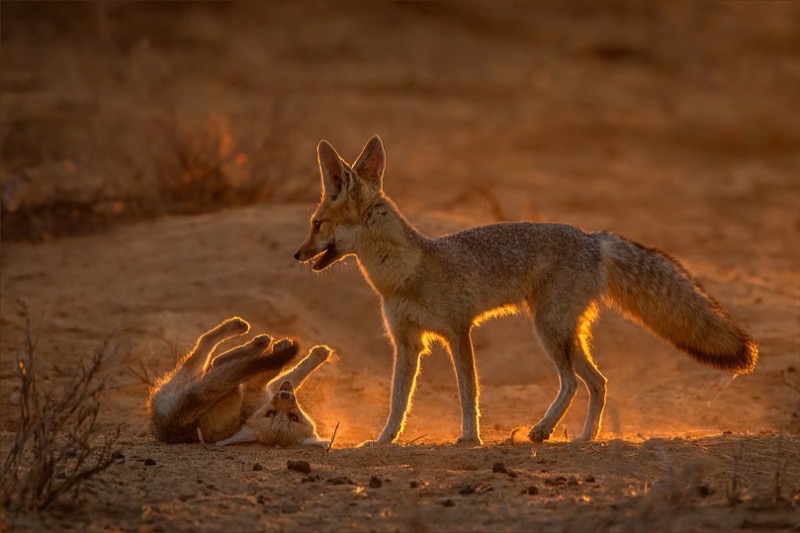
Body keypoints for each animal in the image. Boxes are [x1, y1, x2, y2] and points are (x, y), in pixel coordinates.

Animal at [149, 317, 332, 448]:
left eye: (293, 417)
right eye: (270, 413)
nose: (285, 396)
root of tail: (167, 427)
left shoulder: (257, 386)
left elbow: (284, 371)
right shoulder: (265, 388)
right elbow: (294, 374)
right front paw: (317, 354)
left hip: (198, 375)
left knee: (207, 347)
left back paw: (249, 337)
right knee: (212, 352)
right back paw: (250, 335)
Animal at [293, 135, 758, 446]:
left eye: (316, 225)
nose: (297, 254)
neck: (405, 273)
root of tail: (593, 238)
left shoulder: (458, 332)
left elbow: (468, 392)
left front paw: (470, 438)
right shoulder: (407, 342)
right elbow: (396, 400)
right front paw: (383, 439)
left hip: (549, 331)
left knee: (574, 382)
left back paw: (545, 429)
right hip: (564, 334)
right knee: (599, 382)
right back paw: (584, 438)